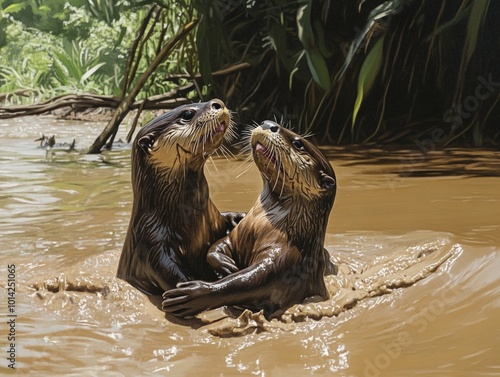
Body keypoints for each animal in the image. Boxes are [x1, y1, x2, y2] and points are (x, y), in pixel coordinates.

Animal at [115, 98, 244, 296]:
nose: (218, 102)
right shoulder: (152, 241)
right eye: (187, 114)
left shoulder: (214, 219)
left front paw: (239, 217)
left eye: (200, 101)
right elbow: (169, 273)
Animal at [162, 119, 338, 316]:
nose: (268, 123)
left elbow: (250, 282)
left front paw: (197, 292)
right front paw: (226, 265)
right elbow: (217, 246)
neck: (263, 225)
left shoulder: (286, 260)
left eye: (298, 143)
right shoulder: (238, 234)